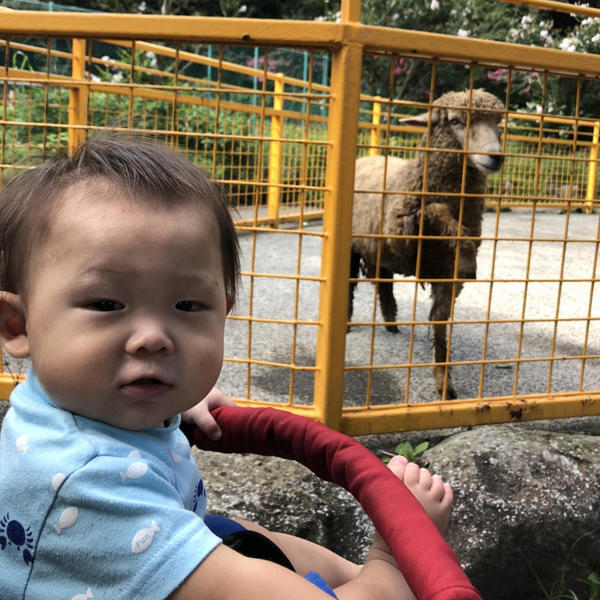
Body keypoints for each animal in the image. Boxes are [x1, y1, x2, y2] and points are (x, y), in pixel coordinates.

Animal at [350, 88, 504, 398]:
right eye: (456, 121)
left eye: (499, 124)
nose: (495, 157)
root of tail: (369, 157)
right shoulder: (401, 232)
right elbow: (435, 208)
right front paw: (468, 257)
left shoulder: (446, 275)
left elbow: (440, 325)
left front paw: (444, 382)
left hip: (377, 247)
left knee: (383, 282)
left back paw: (391, 321)